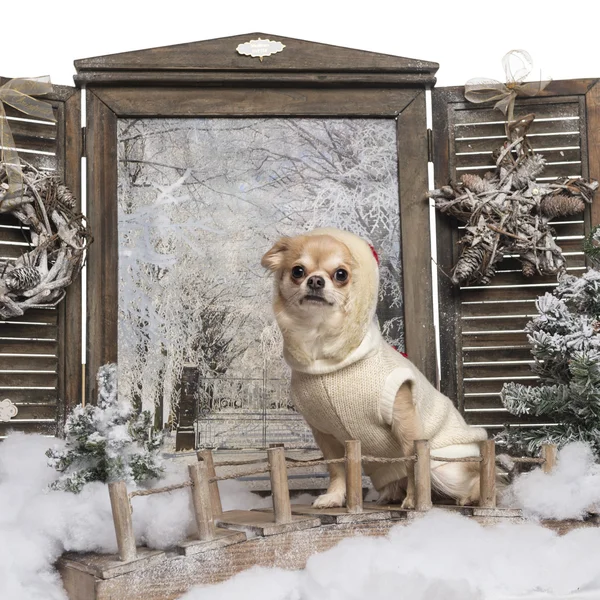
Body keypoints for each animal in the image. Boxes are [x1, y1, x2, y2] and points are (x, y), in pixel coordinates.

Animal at [262, 227, 488, 508]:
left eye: (341, 274)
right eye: (297, 271)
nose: (315, 281)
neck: (323, 351)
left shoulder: (405, 423)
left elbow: (413, 462)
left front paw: (414, 500)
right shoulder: (324, 433)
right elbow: (337, 468)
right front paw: (334, 496)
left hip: (447, 468)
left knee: (478, 478)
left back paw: (468, 496)